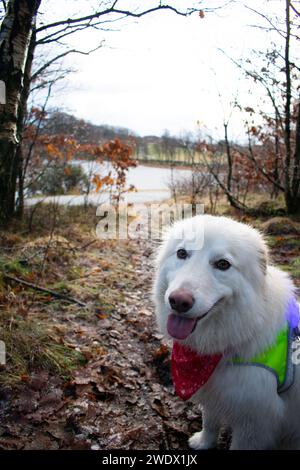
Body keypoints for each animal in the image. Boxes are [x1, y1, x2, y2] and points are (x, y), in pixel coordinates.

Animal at [154, 215, 300, 450]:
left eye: (223, 264)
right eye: (181, 253)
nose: (178, 301)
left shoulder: (254, 424)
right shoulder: (214, 395)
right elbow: (210, 422)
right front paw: (203, 443)